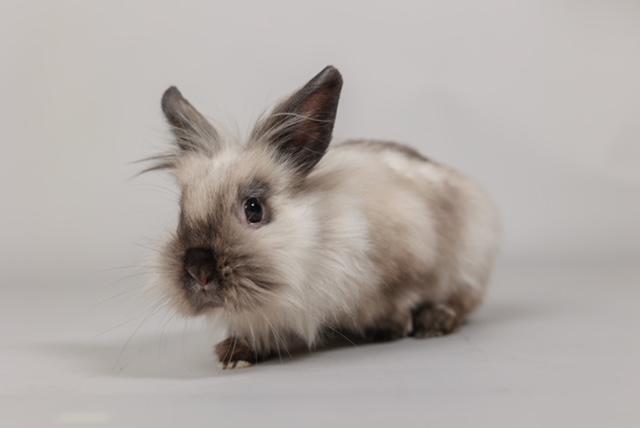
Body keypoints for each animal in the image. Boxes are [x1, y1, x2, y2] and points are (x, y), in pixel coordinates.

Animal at [145, 65, 500, 369]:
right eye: (181, 213)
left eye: (254, 209)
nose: (199, 270)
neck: (310, 250)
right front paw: (234, 353)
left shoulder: (410, 257)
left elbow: (403, 296)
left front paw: (391, 326)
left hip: (469, 261)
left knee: (464, 300)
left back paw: (434, 321)